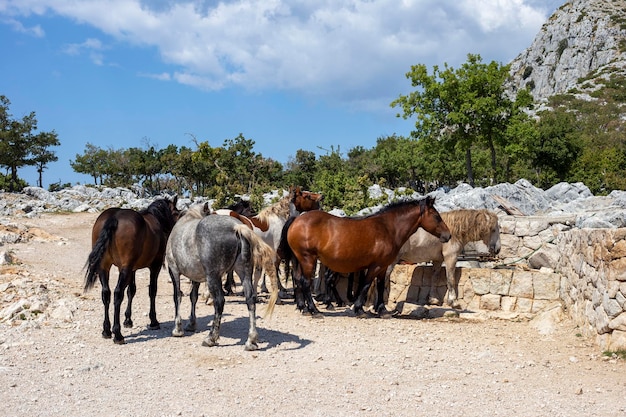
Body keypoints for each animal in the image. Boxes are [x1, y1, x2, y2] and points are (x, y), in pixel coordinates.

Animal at [83, 197, 178, 342]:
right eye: (177, 213)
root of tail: (114, 217)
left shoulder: (132, 269)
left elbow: (131, 291)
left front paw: (128, 320)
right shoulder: (154, 266)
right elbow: (152, 291)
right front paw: (153, 321)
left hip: (104, 268)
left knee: (106, 293)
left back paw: (106, 330)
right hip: (125, 269)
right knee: (117, 293)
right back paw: (117, 334)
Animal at [282, 195, 448, 316]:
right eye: (437, 216)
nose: (448, 235)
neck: (387, 228)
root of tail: (297, 220)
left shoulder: (383, 266)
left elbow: (380, 285)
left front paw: (382, 310)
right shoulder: (376, 265)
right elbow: (366, 284)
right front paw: (359, 308)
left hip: (300, 260)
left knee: (298, 281)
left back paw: (304, 308)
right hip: (308, 259)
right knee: (305, 282)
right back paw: (314, 310)